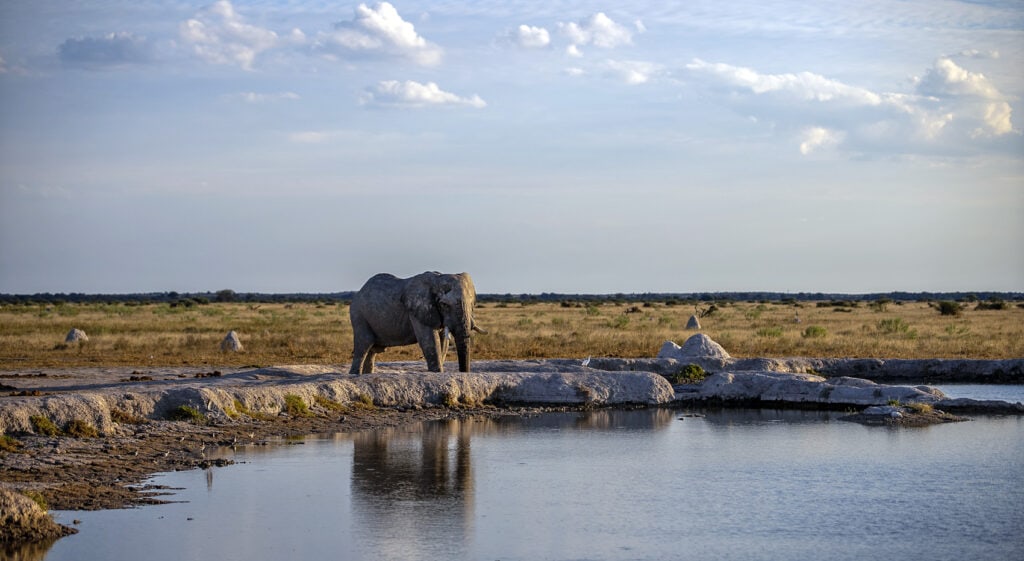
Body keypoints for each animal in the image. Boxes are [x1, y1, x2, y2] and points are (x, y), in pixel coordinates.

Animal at [349, 272, 485, 374]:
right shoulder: (418, 311)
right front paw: (437, 373)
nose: (463, 373)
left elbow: (443, 343)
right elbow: (430, 341)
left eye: (472, 304)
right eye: (444, 305)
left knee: (371, 351)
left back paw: (367, 374)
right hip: (359, 315)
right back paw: (355, 374)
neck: (438, 278)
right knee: (363, 345)